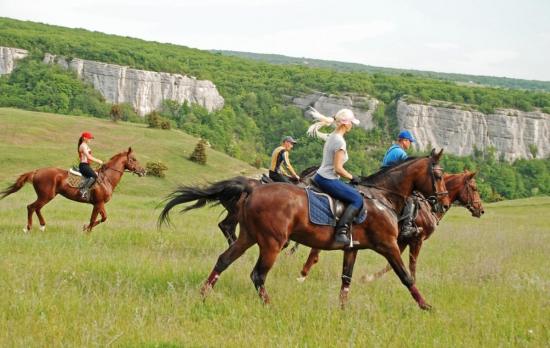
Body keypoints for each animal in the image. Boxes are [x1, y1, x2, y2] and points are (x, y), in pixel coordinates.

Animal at [0, 147, 147, 234]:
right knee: (31, 207)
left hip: (46, 196)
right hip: (46, 196)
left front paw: (85, 228)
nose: (144, 171)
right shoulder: (98, 203)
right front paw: (87, 232)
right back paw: (28, 228)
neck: (107, 179)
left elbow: (104, 218)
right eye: (134, 159)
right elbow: (93, 220)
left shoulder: (100, 204)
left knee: (36, 208)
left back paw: (42, 226)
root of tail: (37, 171)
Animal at [160, 148, 452, 308]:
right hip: (272, 243)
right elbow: (406, 277)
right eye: (438, 176)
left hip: (249, 237)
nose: (442, 202)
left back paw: (202, 295)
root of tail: (253, 189)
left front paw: (342, 311)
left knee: (224, 260)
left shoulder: (353, 249)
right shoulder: (388, 246)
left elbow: (346, 280)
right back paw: (269, 306)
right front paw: (426, 306)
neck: (382, 197)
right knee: (257, 275)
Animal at [300, 168, 486, 282]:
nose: (481, 210)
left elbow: (392, 264)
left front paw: (368, 278)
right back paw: (303, 274)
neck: (427, 206)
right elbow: (411, 264)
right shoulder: (416, 240)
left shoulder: (400, 240)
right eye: (475, 188)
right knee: (316, 249)